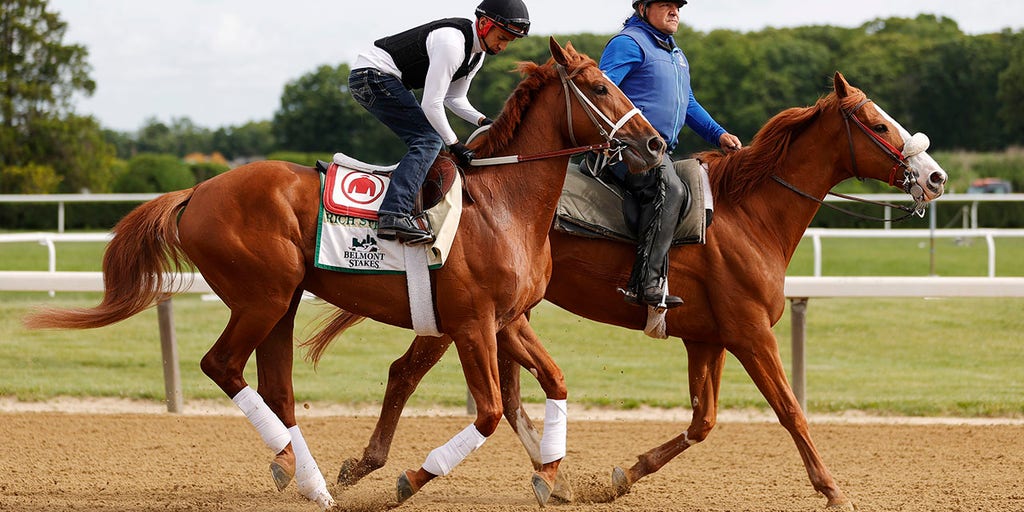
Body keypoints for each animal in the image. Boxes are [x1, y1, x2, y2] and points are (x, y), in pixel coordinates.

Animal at [24, 37, 667, 509]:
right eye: (600, 86)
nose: (656, 143)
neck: (502, 204)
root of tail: (198, 191)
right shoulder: (471, 322)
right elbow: (485, 413)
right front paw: (410, 479)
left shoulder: (507, 320)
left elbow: (554, 382)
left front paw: (552, 476)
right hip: (261, 297)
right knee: (222, 365)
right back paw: (302, 475)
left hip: (281, 302)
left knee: (278, 388)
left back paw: (307, 479)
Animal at [315, 71, 946, 507]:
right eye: (879, 124)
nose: (936, 176)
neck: (746, 215)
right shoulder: (750, 332)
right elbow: (790, 410)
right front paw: (831, 486)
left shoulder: (708, 337)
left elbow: (703, 421)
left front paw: (620, 476)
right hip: (466, 315)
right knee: (406, 372)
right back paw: (367, 467)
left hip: (505, 315)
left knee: (505, 394)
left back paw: (547, 475)